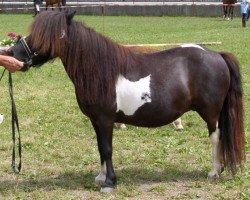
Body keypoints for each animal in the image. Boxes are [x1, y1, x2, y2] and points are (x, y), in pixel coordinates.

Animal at [8, 10, 245, 192]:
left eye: (48, 35)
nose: (12, 52)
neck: (100, 71)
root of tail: (218, 55)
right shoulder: (96, 121)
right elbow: (100, 147)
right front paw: (101, 177)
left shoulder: (105, 120)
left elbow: (107, 149)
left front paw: (110, 183)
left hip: (211, 113)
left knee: (216, 138)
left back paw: (214, 171)